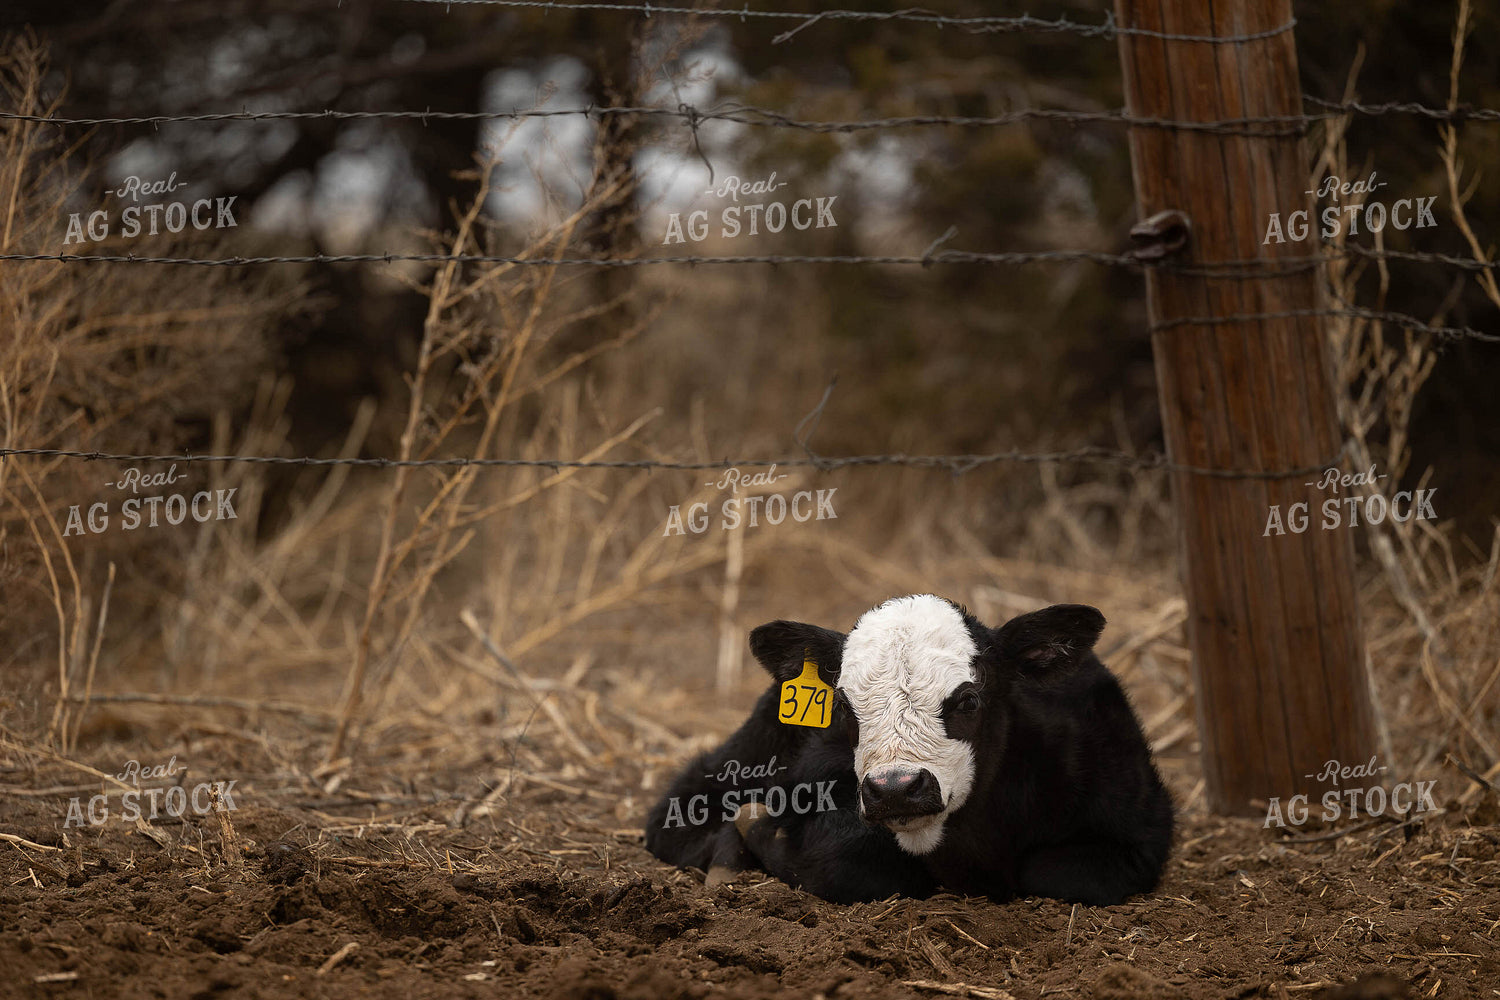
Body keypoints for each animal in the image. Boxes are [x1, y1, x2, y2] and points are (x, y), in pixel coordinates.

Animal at [645, 595, 1175, 906]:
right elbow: (847, 858)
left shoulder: (1139, 833)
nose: (895, 789)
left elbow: (1052, 871)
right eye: (843, 705)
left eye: (968, 700)